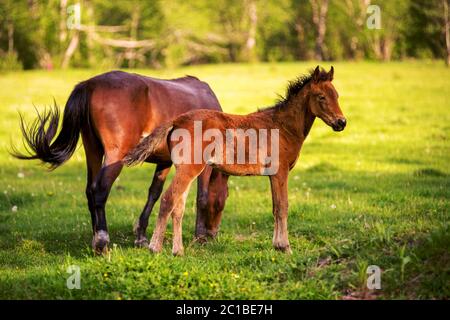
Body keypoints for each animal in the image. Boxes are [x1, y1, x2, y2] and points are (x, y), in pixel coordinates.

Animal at [125, 67, 346, 255]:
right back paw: (155, 247)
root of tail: (177, 121)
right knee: (168, 200)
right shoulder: (280, 172)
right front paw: (285, 247)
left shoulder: (273, 175)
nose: (341, 123)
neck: (283, 127)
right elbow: (282, 207)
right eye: (321, 97)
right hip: (189, 169)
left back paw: (178, 251)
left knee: (178, 207)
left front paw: (277, 245)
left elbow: (275, 207)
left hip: (185, 169)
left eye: (337, 95)